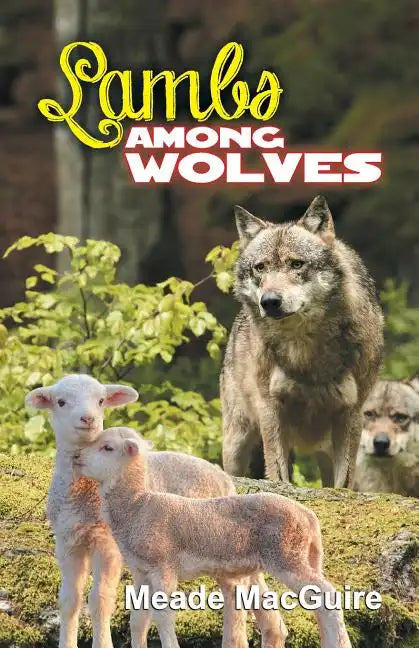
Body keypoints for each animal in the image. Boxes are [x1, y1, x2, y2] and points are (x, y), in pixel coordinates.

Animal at [26, 376, 285, 648]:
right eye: (61, 402)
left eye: (101, 400)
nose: (88, 419)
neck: (83, 496)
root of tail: (223, 477)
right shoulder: (67, 541)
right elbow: (69, 601)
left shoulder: (108, 545)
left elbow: (100, 601)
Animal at [74, 427, 352, 648]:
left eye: (108, 447)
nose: (76, 457)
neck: (137, 505)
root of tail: (308, 516)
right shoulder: (141, 570)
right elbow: (138, 618)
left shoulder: (164, 566)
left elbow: (163, 615)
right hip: (297, 558)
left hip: (287, 556)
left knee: (329, 597)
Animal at [221, 195, 383, 488]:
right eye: (260, 267)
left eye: (296, 264)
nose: (270, 301)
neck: (305, 349)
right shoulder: (270, 407)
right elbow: (279, 474)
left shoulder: (351, 412)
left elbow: (344, 482)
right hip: (236, 441)